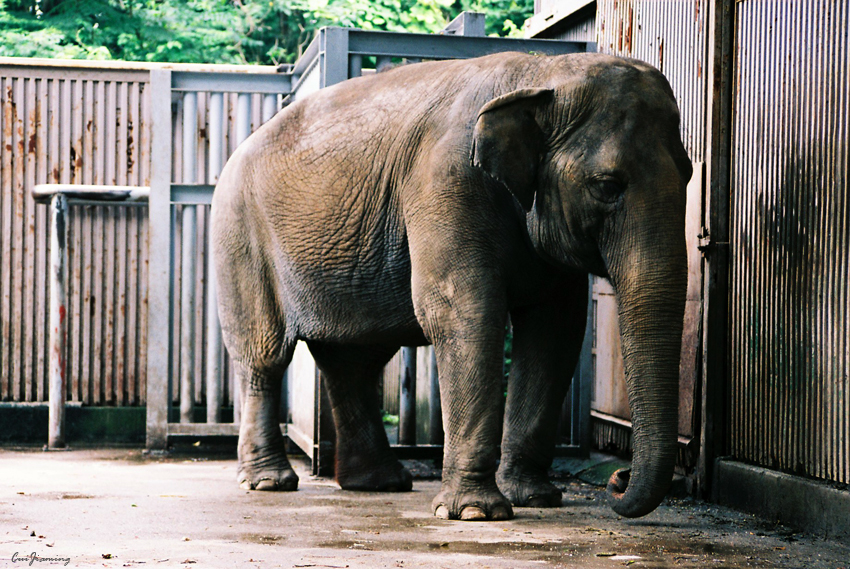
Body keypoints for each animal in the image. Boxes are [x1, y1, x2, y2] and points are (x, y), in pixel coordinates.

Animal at [210, 51, 688, 520]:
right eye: (606, 186)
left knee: (353, 361)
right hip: (239, 237)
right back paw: (270, 483)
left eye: (688, 173)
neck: (541, 71)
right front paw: (476, 512)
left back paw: (380, 484)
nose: (618, 480)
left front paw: (534, 498)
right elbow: (465, 312)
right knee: (266, 357)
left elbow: (554, 329)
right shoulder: (447, 181)